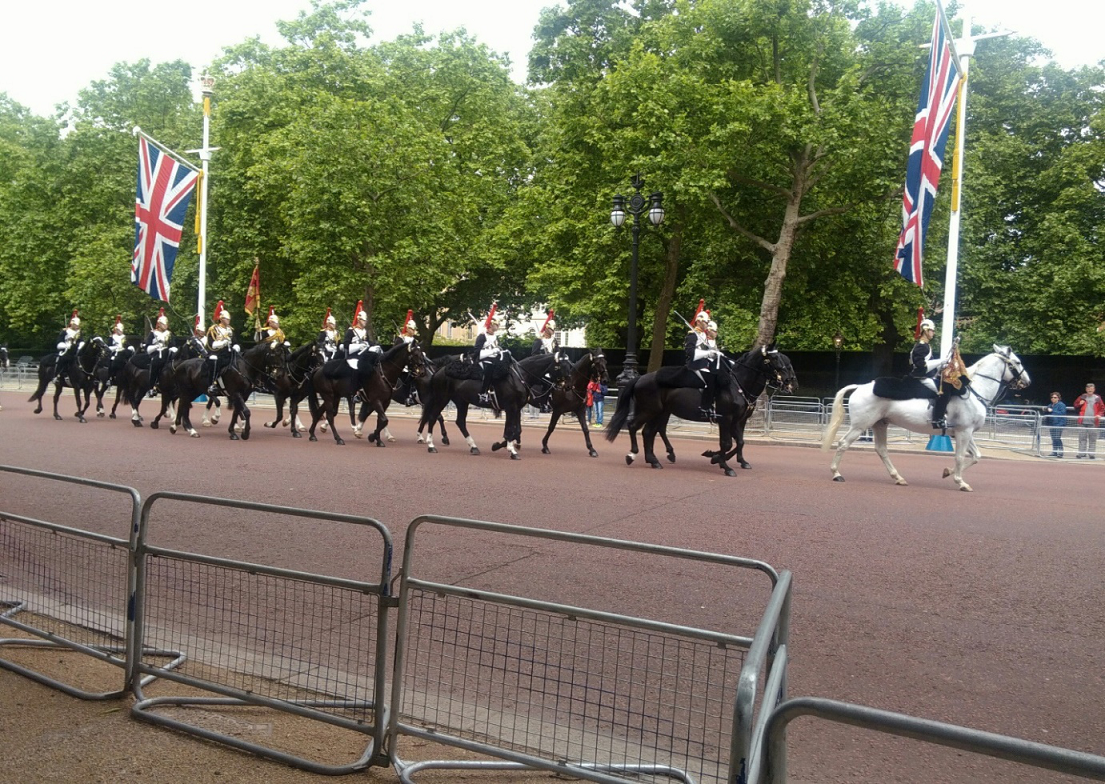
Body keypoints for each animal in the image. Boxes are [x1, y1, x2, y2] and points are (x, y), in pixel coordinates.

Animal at [415, 351, 570, 461]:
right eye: (561, 366)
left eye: (569, 365)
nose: (568, 386)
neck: (519, 377)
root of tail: (439, 370)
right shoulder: (511, 407)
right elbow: (511, 430)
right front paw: (511, 450)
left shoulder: (516, 408)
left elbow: (516, 430)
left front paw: (499, 445)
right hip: (442, 398)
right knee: (433, 417)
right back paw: (431, 445)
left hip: (461, 402)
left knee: (460, 422)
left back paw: (473, 447)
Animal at [601, 344, 800, 479]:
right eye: (775, 360)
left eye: (787, 360)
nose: (792, 383)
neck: (737, 385)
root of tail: (640, 377)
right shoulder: (726, 419)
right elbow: (727, 443)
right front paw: (723, 464)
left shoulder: (739, 420)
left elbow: (740, 442)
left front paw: (722, 458)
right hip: (650, 410)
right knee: (634, 426)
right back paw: (632, 455)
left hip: (660, 412)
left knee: (650, 432)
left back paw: (654, 460)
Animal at [826, 344, 1029, 490]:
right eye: (1018, 362)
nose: (1027, 381)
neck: (974, 391)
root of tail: (860, 386)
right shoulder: (964, 432)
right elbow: (960, 457)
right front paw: (960, 481)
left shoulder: (965, 432)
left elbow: (976, 456)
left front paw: (948, 472)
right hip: (860, 426)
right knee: (843, 444)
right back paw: (836, 474)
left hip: (879, 424)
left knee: (882, 450)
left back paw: (898, 477)